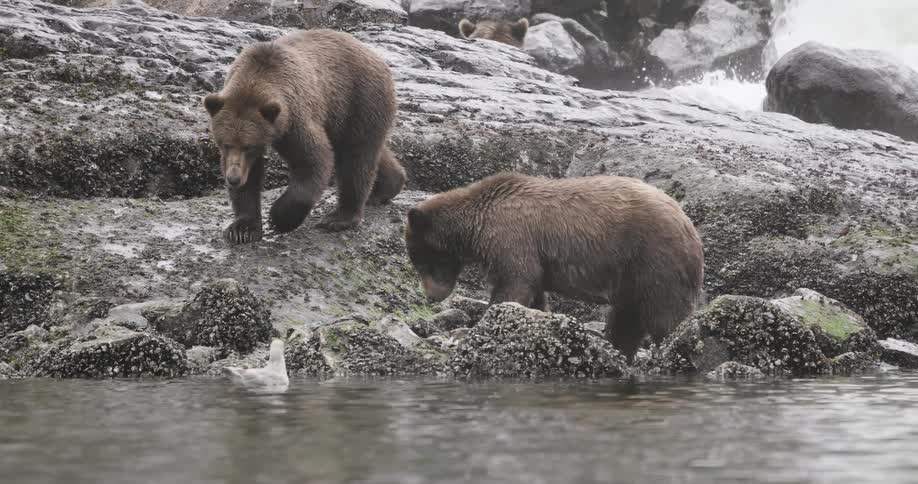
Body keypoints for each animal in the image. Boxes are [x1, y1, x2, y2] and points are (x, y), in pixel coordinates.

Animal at [204, 29, 407, 244]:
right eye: (225, 144)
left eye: (248, 146)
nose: (233, 178)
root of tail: (376, 56)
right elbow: (250, 180)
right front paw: (242, 229)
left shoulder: (296, 118)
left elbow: (314, 160)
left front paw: (279, 218)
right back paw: (388, 187)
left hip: (360, 99)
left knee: (356, 157)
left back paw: (340, 218)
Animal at [404, 172, 705, 363]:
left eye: (423, 262)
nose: (431, 296)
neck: (476, 226)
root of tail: (689, 226)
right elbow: (533, 293)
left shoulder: (512, 237)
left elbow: (514, 283)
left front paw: (479, 327)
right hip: (631, 277)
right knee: (627, 319)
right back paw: (618, 352)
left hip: (654, 259)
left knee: (666, 315)